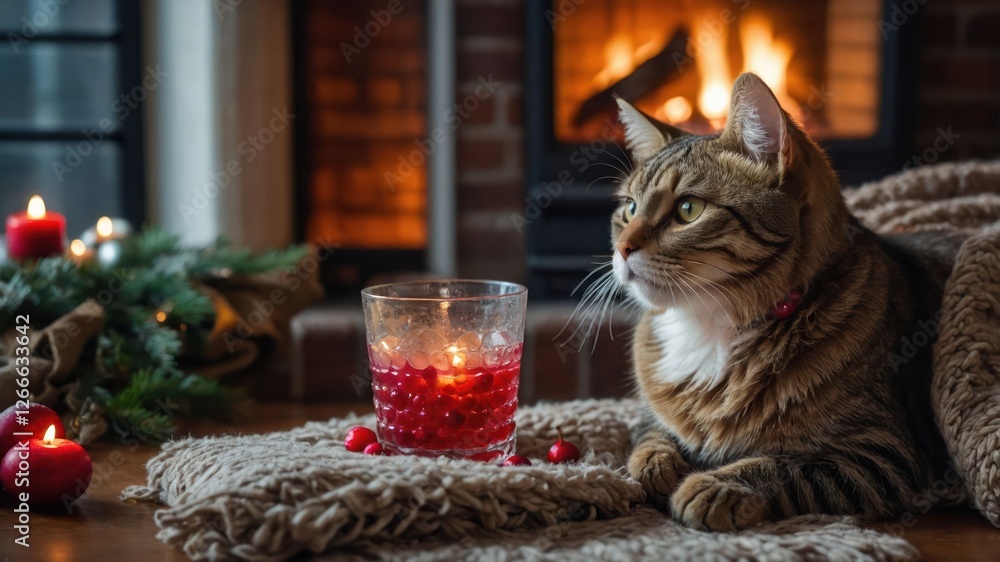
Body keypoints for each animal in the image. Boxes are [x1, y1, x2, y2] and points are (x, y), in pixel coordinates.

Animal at [616, 73, 960, 528]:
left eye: (688, 209)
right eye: (629, 208)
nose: (621, 247)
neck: (712, 326)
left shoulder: (884, 453)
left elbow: (783, 466)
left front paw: (715, 485)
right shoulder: (647, 415)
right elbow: (649, 439)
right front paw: (657, 465)